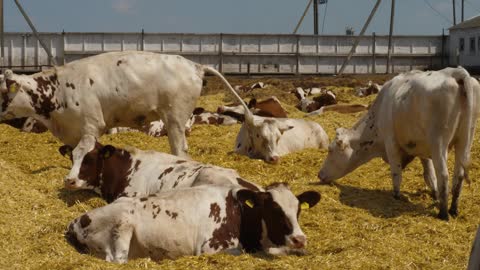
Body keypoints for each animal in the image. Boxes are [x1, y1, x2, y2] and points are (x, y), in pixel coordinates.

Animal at [0, 50, 251, 166]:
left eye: (3, 91)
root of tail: (195, 66)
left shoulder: (91, 126)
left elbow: (85, 151)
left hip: (175, 120)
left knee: (180, 151)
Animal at [62, 182, 318, 262]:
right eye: (274, 210)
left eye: (298, 210)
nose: (300, 238)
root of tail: (75, 221)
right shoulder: (211, 247)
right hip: (123, 225)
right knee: (118, 260)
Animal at [318, 67, 480, 219]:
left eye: (330, 150)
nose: (319, 175)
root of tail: (456, 72)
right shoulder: (422, 148)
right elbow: (429, 174)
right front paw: (434, 194)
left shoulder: (391, 144)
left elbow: (396, 173)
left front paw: (396, 196)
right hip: (465, 140)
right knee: (458, 176)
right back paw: (453, 209)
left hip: (439, 143)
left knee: (444, 176)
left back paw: (443, 213)